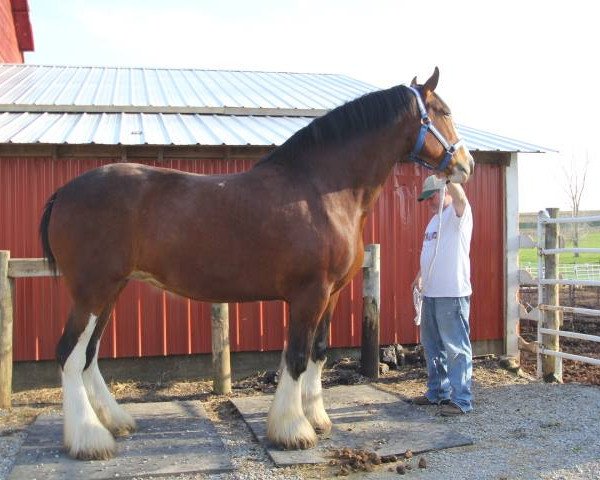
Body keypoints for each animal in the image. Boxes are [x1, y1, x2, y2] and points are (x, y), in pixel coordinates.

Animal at [41, 68, 474, 462]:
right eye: (443, 111)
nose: (466, 164)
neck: (320, 189)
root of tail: (64, 191)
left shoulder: (331, 295)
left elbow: (318, 353)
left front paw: (317, 418)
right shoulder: (309, 294)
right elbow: (295, 357)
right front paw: (293, 430)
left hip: (110, 291)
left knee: (89, 355)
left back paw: (114, 422)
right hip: (92, 292)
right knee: (68, 354)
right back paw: (89, 439)